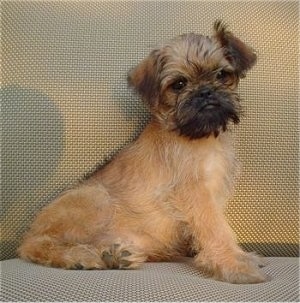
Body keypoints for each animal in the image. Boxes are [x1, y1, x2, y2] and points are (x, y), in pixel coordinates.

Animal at [18, 21, 268, 284]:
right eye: (179, 85)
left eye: (221, 75)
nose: (205, 92)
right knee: (35, 244)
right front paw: (235, 265)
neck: (202, 137)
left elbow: (217, 226)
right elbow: (216, 228)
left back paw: (114, 255)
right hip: (96, 197)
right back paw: (81, 257)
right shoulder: (194, 192)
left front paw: (240, 257)